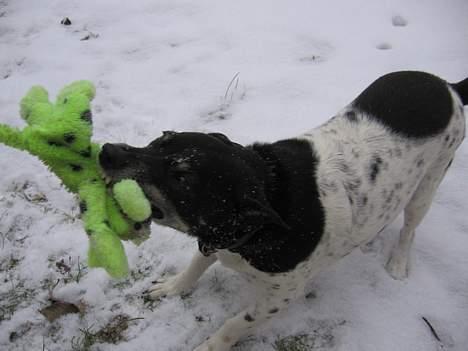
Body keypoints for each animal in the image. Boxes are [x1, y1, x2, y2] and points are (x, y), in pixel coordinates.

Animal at [99, 70, 468, 350]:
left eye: (182, 177)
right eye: (161, 138)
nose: (106, 151)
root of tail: (450, 86)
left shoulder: (279, 298)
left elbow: (235, 323)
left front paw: (210, 346)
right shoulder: (214, 241)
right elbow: (195, 266)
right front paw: (173, 287)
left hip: (428, 183)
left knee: (410, 227)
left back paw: (398, 262)